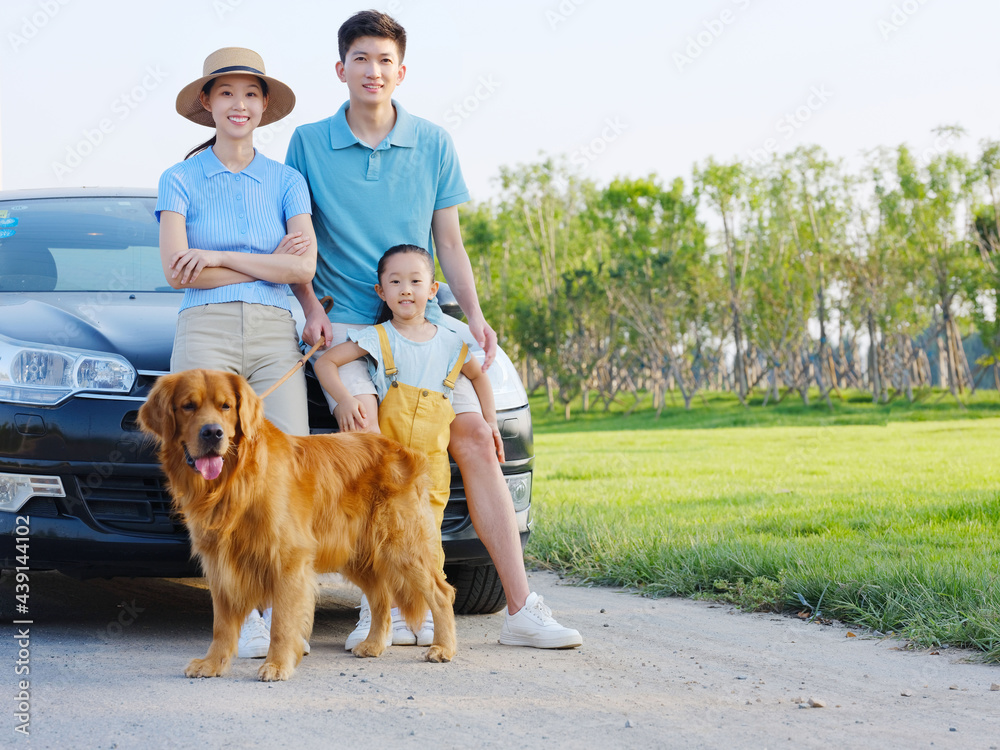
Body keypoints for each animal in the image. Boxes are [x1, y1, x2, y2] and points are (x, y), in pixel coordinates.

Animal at [138, 370, 458, 680]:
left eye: (226, 406)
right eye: (188, 406)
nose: (212, 432)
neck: (236, 479)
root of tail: (404, 450)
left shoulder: (288, 558)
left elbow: (281, 622)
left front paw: (277, 664)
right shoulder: (220, 561)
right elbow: (222, 624)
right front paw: (213, 663)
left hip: (402, 545)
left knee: (441, 593)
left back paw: (443, 647)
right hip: (356, 554)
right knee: (381, 596)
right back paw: (374, 644)